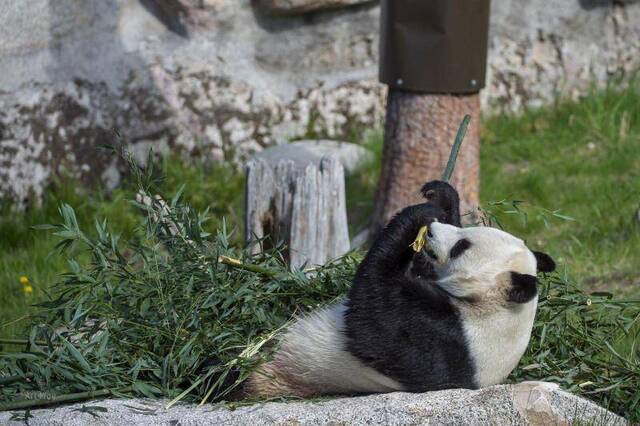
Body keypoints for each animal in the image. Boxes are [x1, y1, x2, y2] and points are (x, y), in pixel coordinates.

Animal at [242, 181, 552, 400]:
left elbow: (373, 311)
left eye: (461, 246)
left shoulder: (444, 339)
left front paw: (419, 215)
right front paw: (441, 197)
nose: (433, 231)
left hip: (274, 371)